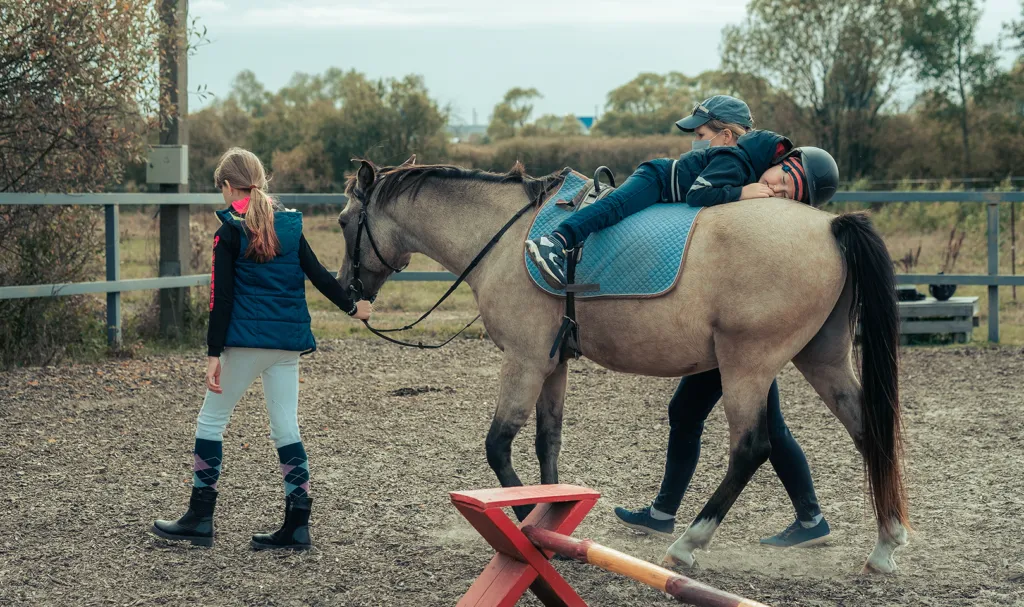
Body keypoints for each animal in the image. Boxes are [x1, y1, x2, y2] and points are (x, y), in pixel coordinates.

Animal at [337, 157, 913, 573]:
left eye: (344, 221)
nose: (347, 293)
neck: (505, 238)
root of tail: (831, 226)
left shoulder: (524, 361)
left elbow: (498, 445)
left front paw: (527, 522)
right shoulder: (553, 364)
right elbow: (548, 442)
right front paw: (551, 514)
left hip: (747, 368)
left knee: (752, 449)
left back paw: (688, 544)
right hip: (821, 360)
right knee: (868, 432)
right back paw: (885, 545)